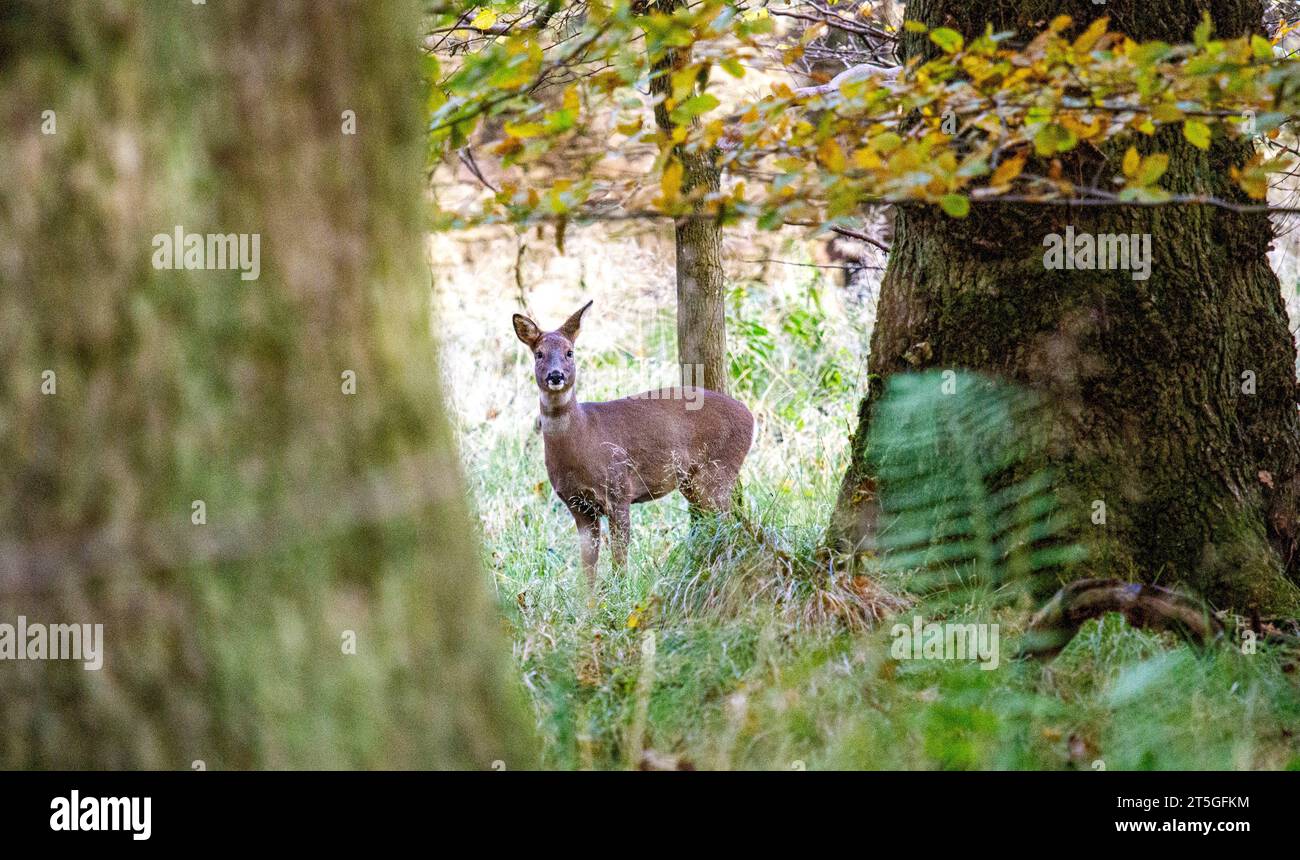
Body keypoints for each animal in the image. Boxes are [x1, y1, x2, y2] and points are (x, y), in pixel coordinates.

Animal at [514, 300, 759, 589]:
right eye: (538, 354)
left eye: (569, 352)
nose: (555, 375)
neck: (583, 440)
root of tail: (751, 417)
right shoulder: (577, 504)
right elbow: (588, 565)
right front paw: (589, 599)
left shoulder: (619, 489)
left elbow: (620, 555)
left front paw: (620, 593)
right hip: (692, 481)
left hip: (718, 470)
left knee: (727, 521)